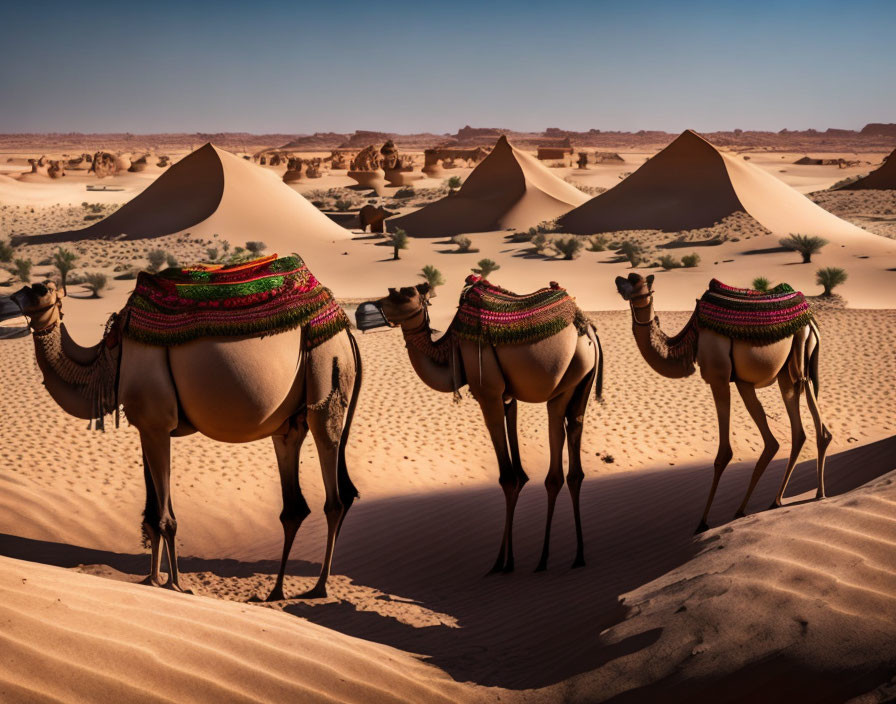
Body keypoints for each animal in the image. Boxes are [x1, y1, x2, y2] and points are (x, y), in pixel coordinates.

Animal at [612, 272, 828, 532]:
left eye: (632, 280)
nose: (617, 279)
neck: (691, 341)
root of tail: (810, 320)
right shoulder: (742, 381)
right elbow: (770, 442)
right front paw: (740, 510)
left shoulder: (719, 378)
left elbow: (724, 453)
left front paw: (702, 523)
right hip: (787, 373)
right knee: (797, 432)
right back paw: (774, 501)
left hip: (800, 357)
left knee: (815, 423)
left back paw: (819, 493)